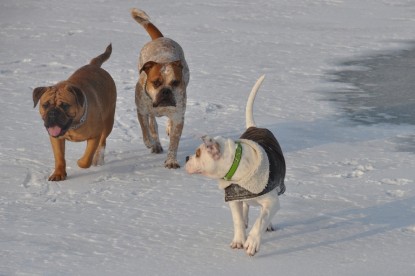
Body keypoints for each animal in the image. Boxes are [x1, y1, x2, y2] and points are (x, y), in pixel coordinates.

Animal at [31, 44, 117, 180]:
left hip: (108, 121)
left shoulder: (95, 135)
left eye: (65, 105)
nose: (53, 113)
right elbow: (59, 157)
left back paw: (98, 159)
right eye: (45, 105)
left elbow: (87, 158)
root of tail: (94, 65)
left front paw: (80, 162)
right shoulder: (56, 139)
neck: (73, 125)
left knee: (102, 142)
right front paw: (58, 173)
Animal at [131, 8, 189, 168]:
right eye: (156, 82)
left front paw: (171, 161)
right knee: (152, 124)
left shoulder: (178, 116)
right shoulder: (141, 110)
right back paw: (155, 144)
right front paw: (150, 143)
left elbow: (174, 142)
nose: (166, 91)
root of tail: (160, 39)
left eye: (175, 82)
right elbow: (145, 131)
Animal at [185, 75, 286, 256]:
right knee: (246, 207)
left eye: (197, 153)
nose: (186, 158)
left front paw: (252, 242)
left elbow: (261, 220)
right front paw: (239, 241)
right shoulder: (233, 197)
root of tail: (255, 126)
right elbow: (237, 219)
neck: (237, 166)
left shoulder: (272, 201)